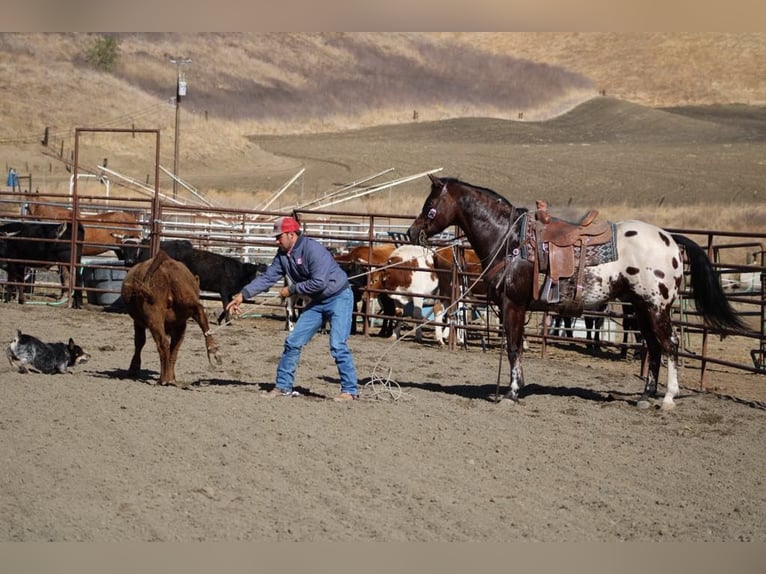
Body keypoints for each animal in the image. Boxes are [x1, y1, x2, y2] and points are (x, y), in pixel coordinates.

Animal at [117, 238, 268, 326]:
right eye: (258, 273)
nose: (266, 288)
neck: (237, 271)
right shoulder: (224, 291)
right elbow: (226, 305)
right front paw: (228, 322)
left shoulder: (229, 293)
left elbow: (228, 306)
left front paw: (221, 320)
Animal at [121, 249, 222, 388]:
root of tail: (165, 264)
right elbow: (173, 348)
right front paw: (172, 376)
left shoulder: (138, 322)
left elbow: (139, 342)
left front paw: (134, 368)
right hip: (185, 301)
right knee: (198, 312)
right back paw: (212, 350)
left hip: (154, 314)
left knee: (162, 343)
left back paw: (163, 379)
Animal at [408, 174, 752, 410]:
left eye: (430, 207)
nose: (412, 232)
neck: (510, 240)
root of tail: (668, 238)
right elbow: (515, 347)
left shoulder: (513, 305)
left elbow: (514, 347)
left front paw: (512, 392)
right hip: (640, 307)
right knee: (654, 348)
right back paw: (645, 396)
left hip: (656, 307)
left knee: (670, 344)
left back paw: (668, 398)